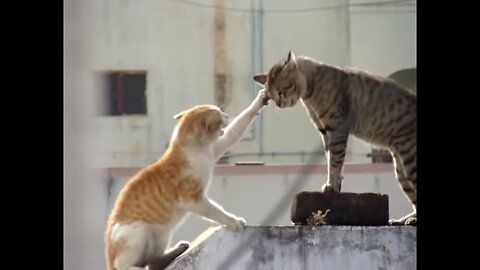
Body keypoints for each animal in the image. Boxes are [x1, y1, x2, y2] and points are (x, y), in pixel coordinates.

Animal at [104, 89, 266, 268]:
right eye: (219, 115)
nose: (227, 114)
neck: (195, 149)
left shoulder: (216, 147)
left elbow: (235, 131)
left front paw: (259, 101)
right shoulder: (192, 199)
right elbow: (216, 210)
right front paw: (233, 220)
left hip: (162, 232)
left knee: (154, 262)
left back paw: (175, 250)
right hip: (136, 231)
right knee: (126, 266)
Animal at [255, 51, 416, 225]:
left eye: (282, 90)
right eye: (270, 96)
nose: (279, 104)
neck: (312, 89)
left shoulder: (337, 128)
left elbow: (335, 162)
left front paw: (331, 185)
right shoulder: (325, 132)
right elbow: (332, 162)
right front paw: (335, 186)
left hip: (410, 161)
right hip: (402, 171)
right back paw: (407, 219)